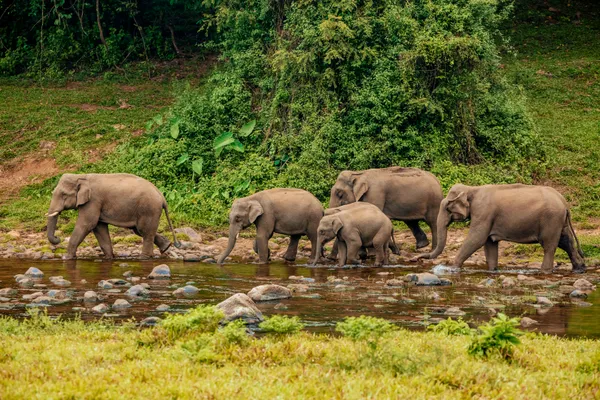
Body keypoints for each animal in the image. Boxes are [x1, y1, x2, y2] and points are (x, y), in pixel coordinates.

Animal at [46, 173, 179, 260]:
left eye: (64, 195)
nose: (58, 238)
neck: (82, 176)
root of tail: (162, 196)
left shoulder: (93, 200)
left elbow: (87, 224)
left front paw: (66, 258)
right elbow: (99, 227)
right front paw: (109, 258)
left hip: (148, 209)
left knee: (144, 231)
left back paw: (144, 258)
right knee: (140, 230)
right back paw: (166, 247)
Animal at [412, 184, 584, 272]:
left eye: (447, 208)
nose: (416, 259)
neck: (472, 188)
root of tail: (564, 202)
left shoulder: (483, 212)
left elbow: (477, 239)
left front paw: (452, 268)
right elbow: (489, 243)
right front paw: (493, 271)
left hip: (551, 219)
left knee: (549, 246)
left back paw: (545, 271)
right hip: (559, 221)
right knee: (566, 241)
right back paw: (580, 268)